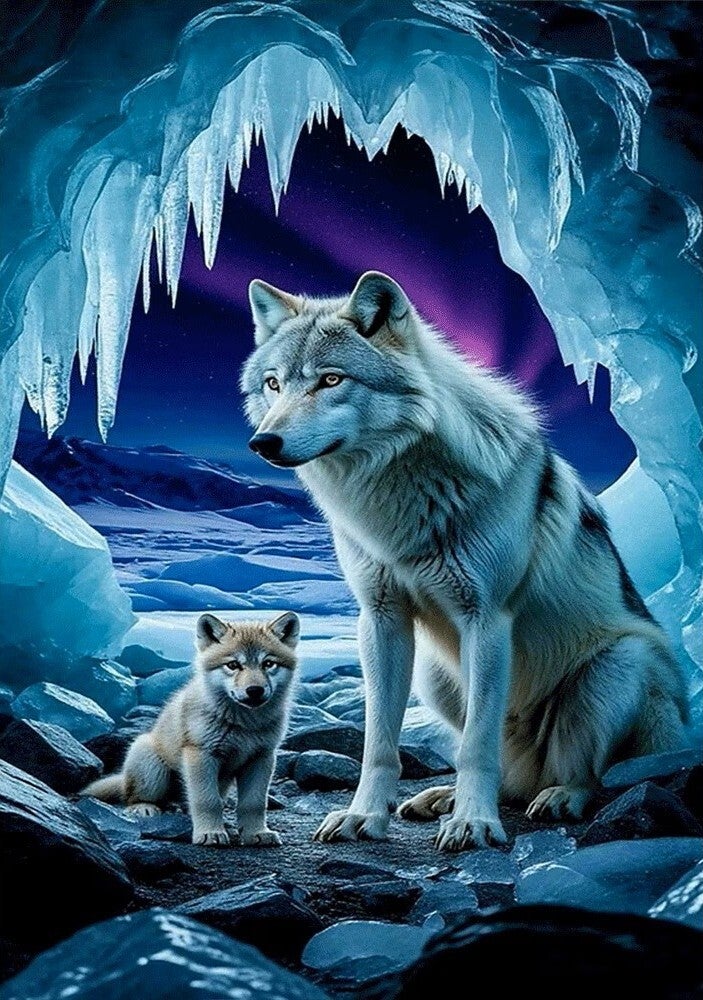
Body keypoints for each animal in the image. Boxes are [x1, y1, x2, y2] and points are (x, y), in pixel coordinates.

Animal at [81, 612, 299, 846]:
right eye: (233, 665)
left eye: (268, 664)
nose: (255, 690)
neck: (243, 724)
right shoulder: (201, 755)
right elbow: (207, 801)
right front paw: (211, 833)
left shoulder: (261, 759)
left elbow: (254, 804)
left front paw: (256, 833)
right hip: (151, 766)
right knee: (133, 797)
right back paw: (144, 808)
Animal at [241, 271, 689, 852]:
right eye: (274, 384)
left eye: (332, 380)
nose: (262, 442)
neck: (399, 500)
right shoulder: (380, 619)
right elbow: (378, 742)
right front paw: (365, 816)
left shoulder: (487, 619)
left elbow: (477, 743)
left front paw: (475, 823)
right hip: (435, 675)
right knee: (512, 777)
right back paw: (443, 797)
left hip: (620, 665)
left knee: (591, 773)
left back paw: (560, 796)